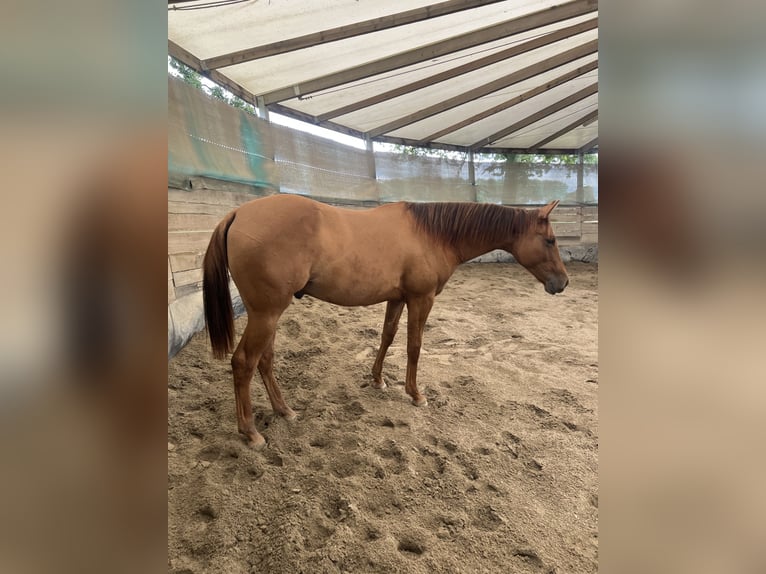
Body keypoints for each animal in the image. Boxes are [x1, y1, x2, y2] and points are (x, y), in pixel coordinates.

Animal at [202, 193, 569, 447]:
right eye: (550, 240)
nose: (563, 283)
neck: (432, 233)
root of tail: (237, 214)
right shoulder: (421, 299)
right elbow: (414, 345)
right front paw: (416, 394)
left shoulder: (397, 298)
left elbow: (387, 337)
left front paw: (378, 380)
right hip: (266, 313)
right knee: (244, 362)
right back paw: (250, 433)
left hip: (270, 314)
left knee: (265, 360)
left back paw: (284, 411)